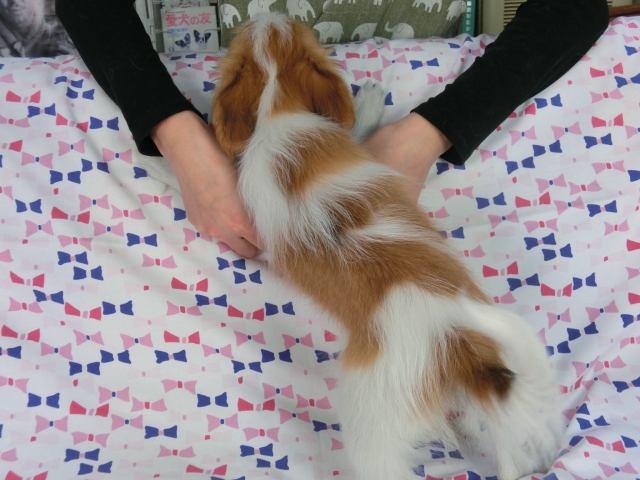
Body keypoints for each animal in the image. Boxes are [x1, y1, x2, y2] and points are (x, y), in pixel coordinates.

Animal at [146, 12, 563, 479]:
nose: (269, 14)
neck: (280, 103)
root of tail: (455, 346)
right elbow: (356, 128)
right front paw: (371, 102)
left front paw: (153, 163)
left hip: (369, 425)